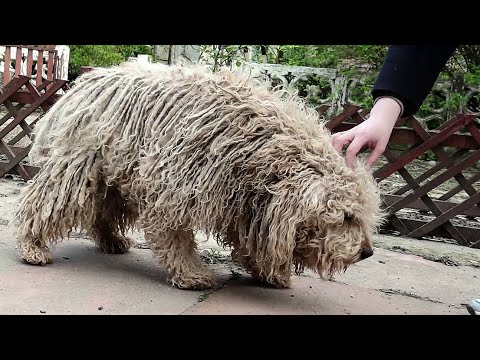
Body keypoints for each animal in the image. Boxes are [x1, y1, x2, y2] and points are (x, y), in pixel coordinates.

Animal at [13, 60, 384, 288]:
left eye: (362, 216)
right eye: (347, 217)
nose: (367, 252)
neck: (263, 146)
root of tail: (88, 81)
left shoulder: (248, 202)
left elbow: (251, 239)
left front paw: (267, 272)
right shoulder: (176, 188)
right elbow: (175, 238)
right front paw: (191, 274)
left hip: (117, 172)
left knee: (104, 210)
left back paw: (111, 240)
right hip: (79, 167)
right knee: (41, 204)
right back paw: (32, 245)